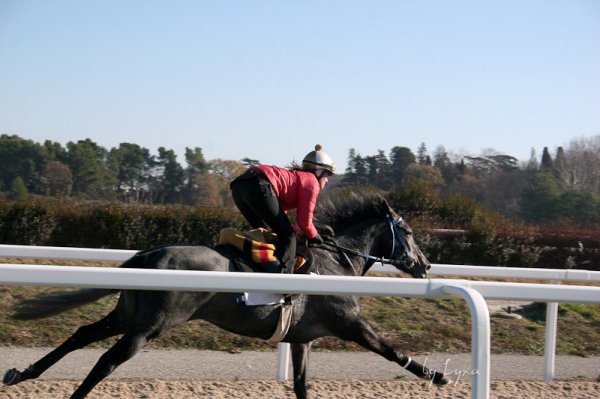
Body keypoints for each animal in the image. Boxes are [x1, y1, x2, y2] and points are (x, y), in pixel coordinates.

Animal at [1, 194, 450, 399]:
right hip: (149, 326)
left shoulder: (301, 339)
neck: (337, 263)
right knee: (106, 361)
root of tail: (148, 254)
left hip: (127, 314)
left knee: (81, 334)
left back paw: (22, 373)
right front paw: (437, 375)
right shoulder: (349, 323)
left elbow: (302, 385)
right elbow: (388, 349)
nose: (425, 265)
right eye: (409, 232)